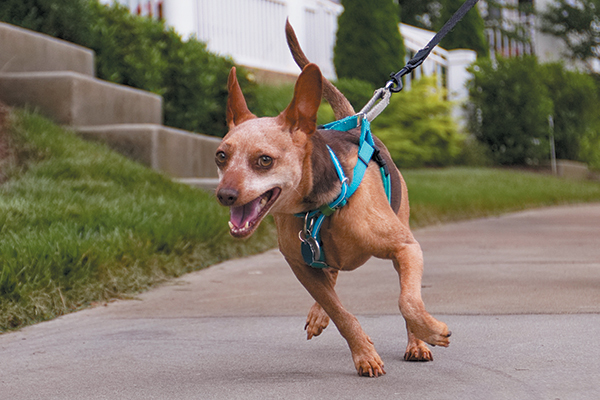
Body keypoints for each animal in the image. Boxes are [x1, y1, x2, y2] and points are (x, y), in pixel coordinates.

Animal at [216, 22, 450, 378]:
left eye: (264, 160)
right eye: (221, 156)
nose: (224, 195)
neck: (318, 209)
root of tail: (357, 120)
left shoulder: (406, 248)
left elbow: (408, 301)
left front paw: (430, 331)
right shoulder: (300, 264)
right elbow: (340, 311)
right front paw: (363, 353)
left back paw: (417, 342)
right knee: (333, 278)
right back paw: (320, 312)